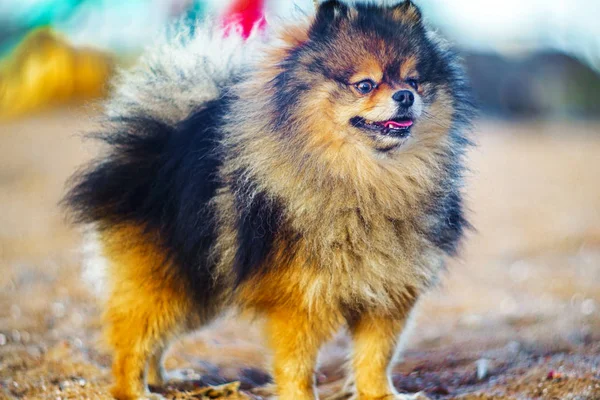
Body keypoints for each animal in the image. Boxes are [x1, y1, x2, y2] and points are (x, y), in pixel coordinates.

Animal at [64, 0, 474, 400]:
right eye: (364, 84)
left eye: (414, 80)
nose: (405, 96)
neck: (369, 179)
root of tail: (160, 142)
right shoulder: (299, 302)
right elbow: (298, 367)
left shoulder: (388, 296)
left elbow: (376, 359)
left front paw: (382, 396)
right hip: (170, 283)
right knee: (133, 343)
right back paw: (138, 391)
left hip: (197, 288)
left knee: (154, 341)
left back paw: (165, 379)